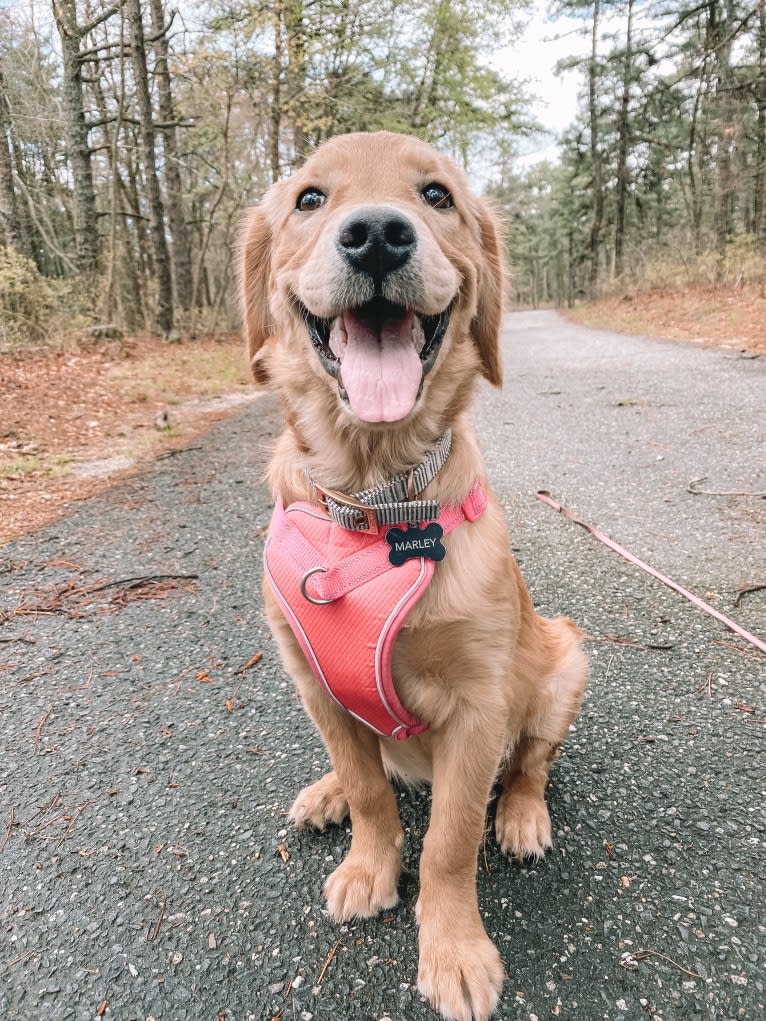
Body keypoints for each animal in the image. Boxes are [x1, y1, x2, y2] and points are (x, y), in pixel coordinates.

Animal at [240, 129, 588, 1021]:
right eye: (310, 198)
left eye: (436, 196)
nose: (376, 235)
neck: (376, 495)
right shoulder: (311, 676)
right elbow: (372, 791)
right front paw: (369, 861)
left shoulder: (478, 708)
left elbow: (450, 841)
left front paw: (455, 949)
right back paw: (325, 792)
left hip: (567, 657)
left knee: (532, 761)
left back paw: (524, 815)